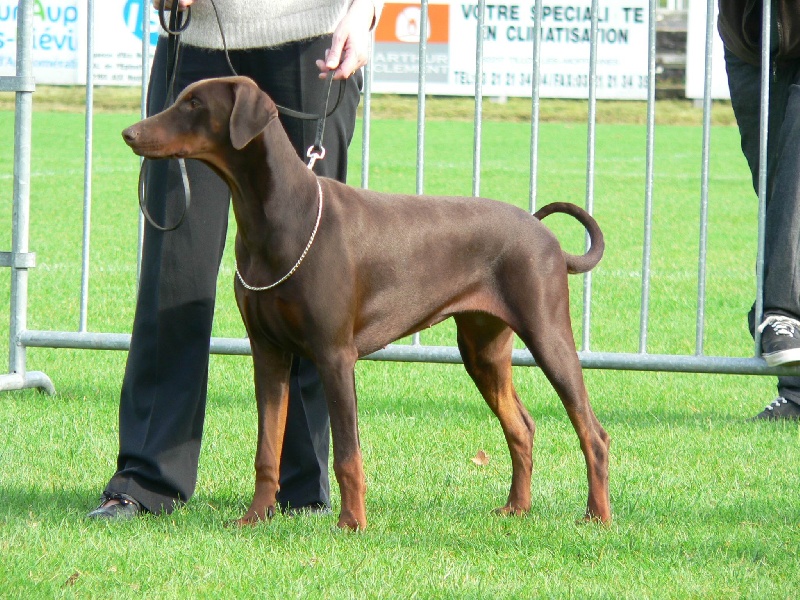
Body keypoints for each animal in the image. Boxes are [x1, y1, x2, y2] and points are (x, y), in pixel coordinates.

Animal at [122, 75, 612, 528]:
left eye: (195, 103)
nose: (130, 132)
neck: (279, 215)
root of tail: (543, 233)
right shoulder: (268, 353)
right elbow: (267, 447)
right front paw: (257, 516)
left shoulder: (335, 355)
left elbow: (347, 452)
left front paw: (352, 523)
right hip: (482, 350)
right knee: (522, 427)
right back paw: (517, 507)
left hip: (548, 334)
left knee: (593, 432)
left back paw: (598, 516)